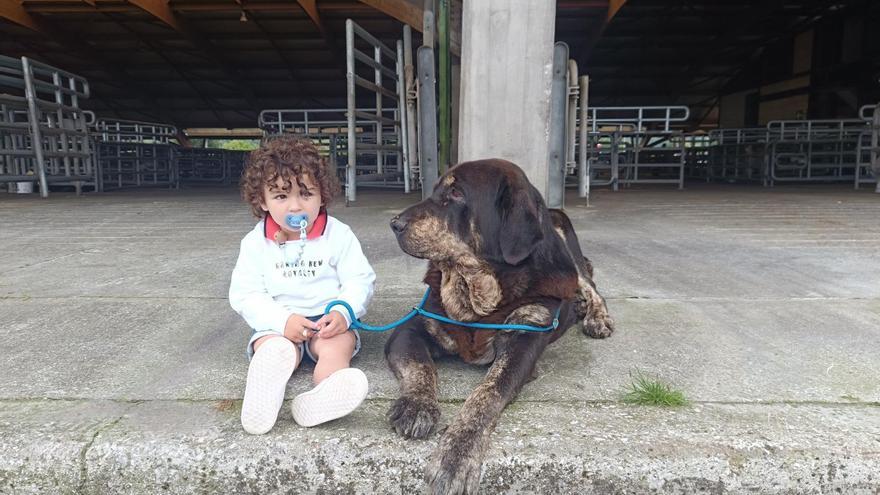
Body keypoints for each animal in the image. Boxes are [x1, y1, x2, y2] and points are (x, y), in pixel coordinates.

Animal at [388, 160, 616, 495]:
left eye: (456, 193)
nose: (394, 223)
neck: (477, 290)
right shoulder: (411, 328)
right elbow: (420, 367)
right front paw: (417, 404)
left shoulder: (524, 341)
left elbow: (487, 393)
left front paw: (457, 454)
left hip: (567, 250)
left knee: (589, 283)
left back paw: (595, 316)